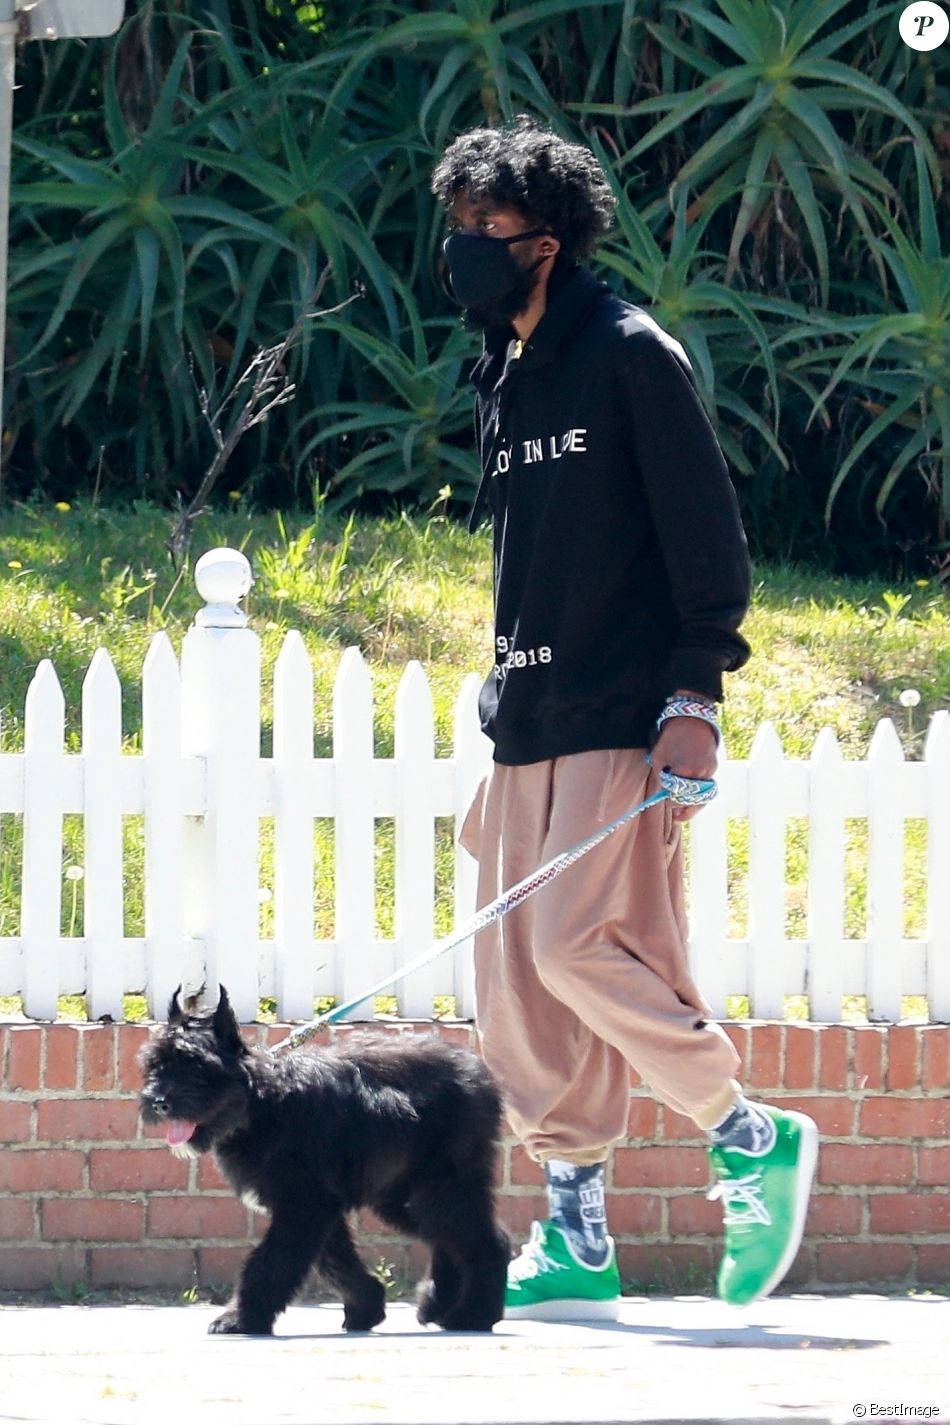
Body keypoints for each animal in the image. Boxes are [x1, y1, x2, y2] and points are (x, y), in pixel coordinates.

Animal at [137, 991, 509, 1333]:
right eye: (155, 1064)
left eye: (195, 1065)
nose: (158, 1102)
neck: (264, 1103)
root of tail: (480, 1076)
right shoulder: (319, 1207)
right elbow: (336, 1262)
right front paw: (366, 1307)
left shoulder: (304, 1206)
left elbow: (272, 1262)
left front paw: (240, 1319)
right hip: (404, 1197)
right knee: (456, 1240)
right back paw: (438, 1304)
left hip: (440, 1188)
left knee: (487, 1244)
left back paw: (474, 1315)